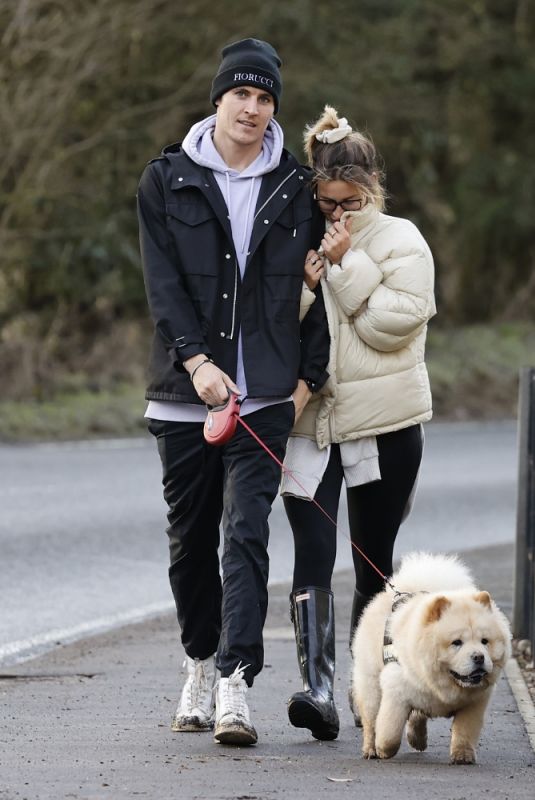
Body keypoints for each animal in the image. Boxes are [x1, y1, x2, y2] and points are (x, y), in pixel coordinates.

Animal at [352, 552, 510, 764]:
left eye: (485, 641)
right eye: (457, 642)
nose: (478, 657)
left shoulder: (474, 704)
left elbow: (465, 732)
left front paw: (463, 756)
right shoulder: (396, 692)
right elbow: (389, 729)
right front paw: (383, 749)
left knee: (417, 715)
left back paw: (417, 739)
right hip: (371, 685)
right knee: (371, 720)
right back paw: (371, 749)